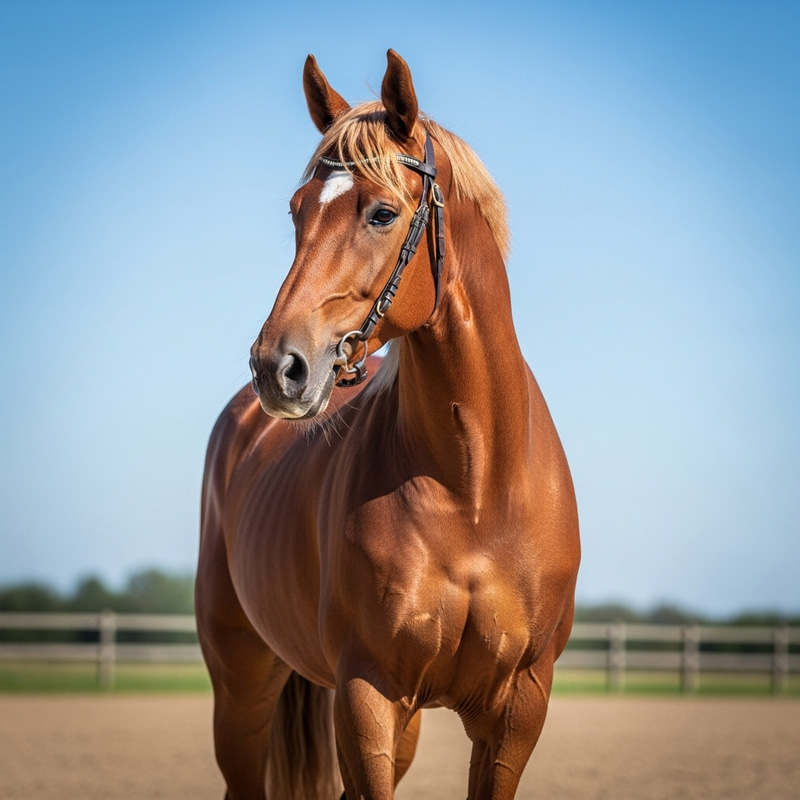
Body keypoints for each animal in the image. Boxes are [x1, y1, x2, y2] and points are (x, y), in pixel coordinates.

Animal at [196, 50, 580, 800]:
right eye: (297, 212)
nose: (277, 367)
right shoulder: (367, 695)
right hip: (241, 691)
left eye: (381, 213)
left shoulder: (517, 712)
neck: (475, 487)